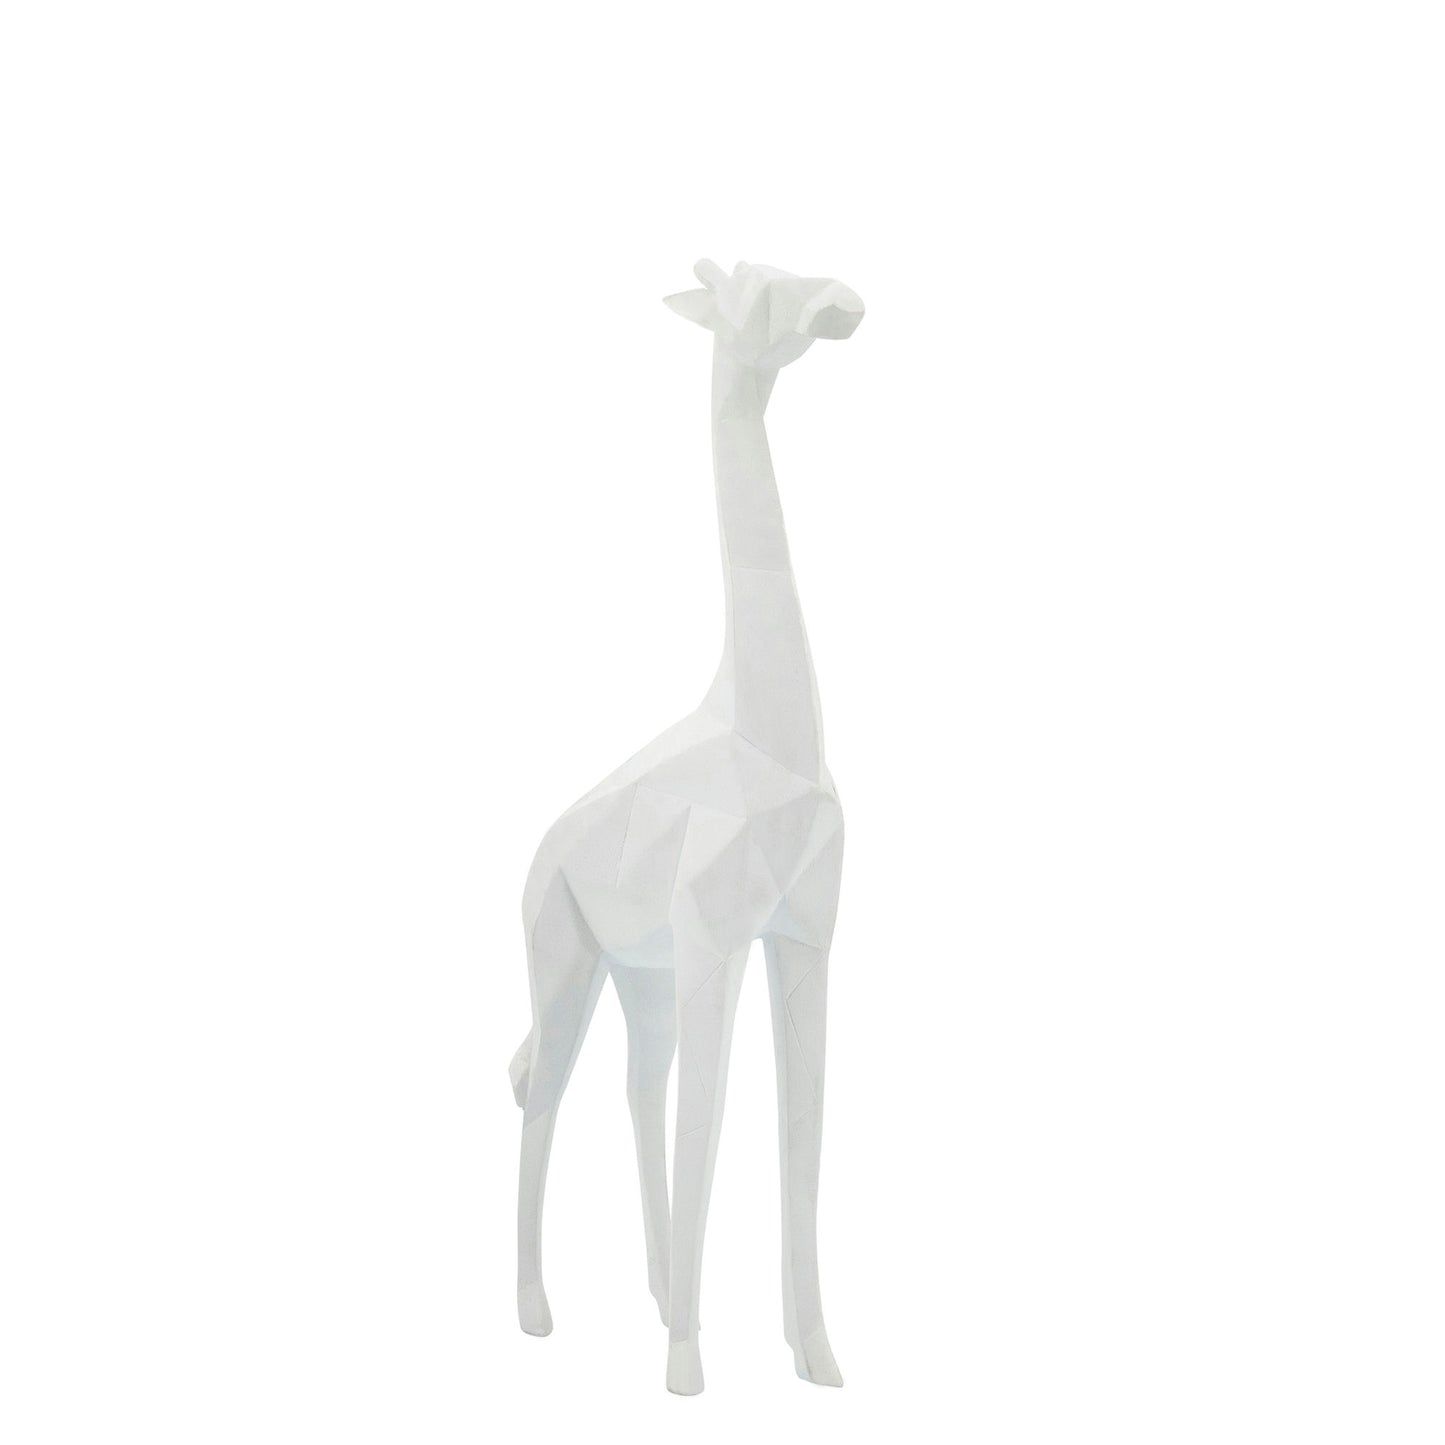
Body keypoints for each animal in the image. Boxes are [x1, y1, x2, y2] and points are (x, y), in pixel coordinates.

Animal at [510, 258, 864, 1395]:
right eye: (757, 287)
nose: (841, 302)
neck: (770, 730)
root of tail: (538, 851)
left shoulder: (802, 937)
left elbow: (799, 1130)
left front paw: (817, 1355)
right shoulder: (718, 940)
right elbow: (709, 1122)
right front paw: (685, 1370)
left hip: (642, 974)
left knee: (635, 1086)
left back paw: (661, 1295)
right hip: (564, 955)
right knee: (543, 1096)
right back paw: (536, 1312)